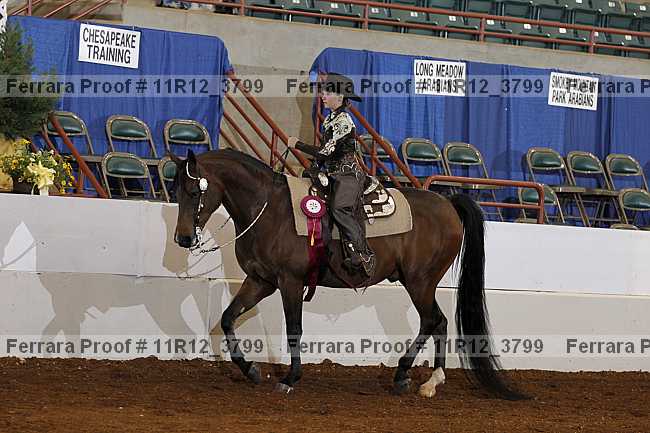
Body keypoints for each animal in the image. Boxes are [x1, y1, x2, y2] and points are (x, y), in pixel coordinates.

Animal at [169, 148, 526, 400]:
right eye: (175, 191)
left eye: (194, 191)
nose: (183, 238)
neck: (269, 210)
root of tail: (448, 203)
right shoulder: (261, 281)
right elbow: (228, 318)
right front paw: (251, 370)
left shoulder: (290, 282)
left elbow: (294, 330)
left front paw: (289, 379)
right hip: (420, 283)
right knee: (440, 322)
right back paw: (429, 382)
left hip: (420, 282)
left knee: (432, 320)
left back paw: (406, 376)